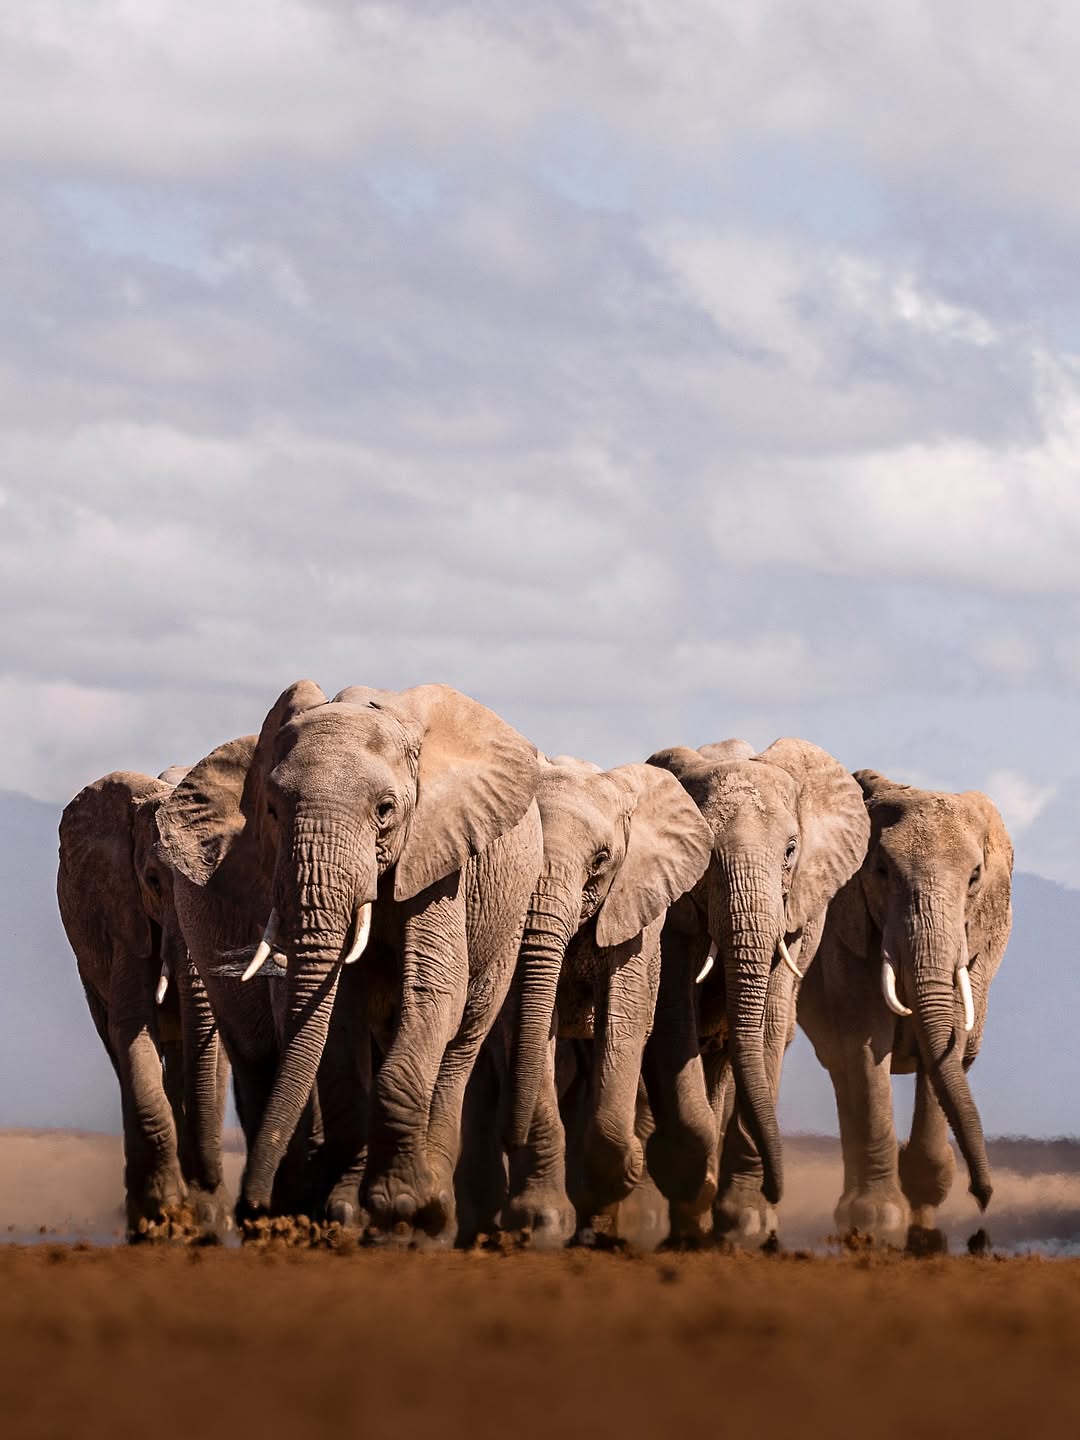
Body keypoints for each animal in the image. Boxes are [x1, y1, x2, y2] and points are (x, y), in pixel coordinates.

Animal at [57, 766, 227, 1235]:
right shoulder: (121, 911)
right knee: (118, 1051)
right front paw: (164, 1208)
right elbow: (132, 1027)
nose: (209, 1183)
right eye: (153, 882)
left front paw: (209, 1211)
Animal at [155, 680, 543, 1241]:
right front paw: (346, 1211)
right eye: (272, 811)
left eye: (385, 809)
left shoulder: (438, 857)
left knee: (463, 1037)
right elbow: (337, 1022)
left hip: (505, 919)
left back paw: (434, 1209)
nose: (253, 1206)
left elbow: (433, 993)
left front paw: (400, 1203)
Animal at [492, 755, 713, 1246]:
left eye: (601, 859)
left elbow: (624, 1018)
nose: (510, 1139)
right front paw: (539, 1219)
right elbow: (525, 1024)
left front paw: (631, 1163)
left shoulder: (636, 909)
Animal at [643, 739, 870, 1244]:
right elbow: (672, 1018)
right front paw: (689, 1180)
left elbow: (768, 1026)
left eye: (791, 850)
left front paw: (745, 1223)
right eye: (703, 854)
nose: (777, 1189)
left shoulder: (796, 912)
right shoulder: (672, 910)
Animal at [797, 771, 1013, 1239]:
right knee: (844, 1071)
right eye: (880, 871)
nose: (984, 1196)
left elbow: (952, 1045)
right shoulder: (846, 930)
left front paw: (926, 1205)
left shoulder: (982, 941)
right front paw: (879, 1220)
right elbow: (867, 1042)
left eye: (974, 877)